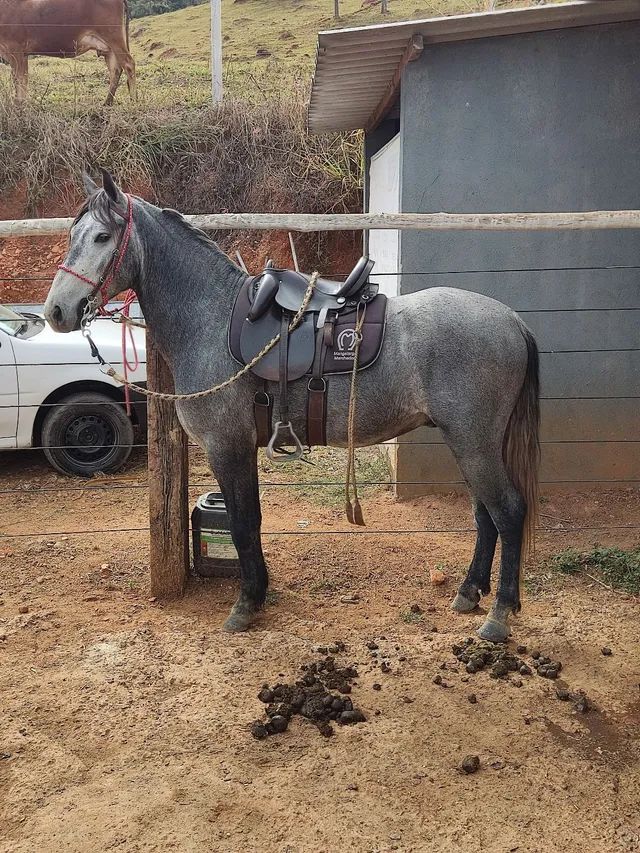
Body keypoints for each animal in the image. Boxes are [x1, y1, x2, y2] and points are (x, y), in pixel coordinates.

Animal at [0, 0, 135, 104]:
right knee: (115, 70)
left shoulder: (16, 50)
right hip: (108, 47)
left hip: (113, 37)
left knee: (128, 64)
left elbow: (20, 81)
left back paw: (134, 101)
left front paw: (20, 106)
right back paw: (107, 103)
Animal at [42, 171, 536, 640]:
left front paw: (245, 605)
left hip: (474, 443)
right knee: (485, 516)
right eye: (71, 235)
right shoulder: (240, 447)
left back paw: (498, 616)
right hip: (470, 443)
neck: (211, 318)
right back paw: (469, 593)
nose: (57, 311)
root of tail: (512, 320)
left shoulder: (227, 445)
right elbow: (252, 520)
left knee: (508, 513)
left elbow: (242, 524)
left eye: (102, 237)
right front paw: (258, 593)